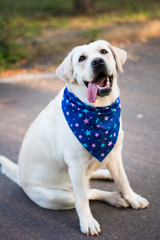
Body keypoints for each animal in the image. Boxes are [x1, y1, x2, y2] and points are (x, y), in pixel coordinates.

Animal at [0, 40, 149, 235]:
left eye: (103, 51)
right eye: (82, 58)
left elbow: (123, 180)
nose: (98, 61)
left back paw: (106, 175)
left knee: (92, 180)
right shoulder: (76, 165)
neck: (99, 109)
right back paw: (113, 197)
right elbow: (83, 200)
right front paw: (88, 222)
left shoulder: (115, 152)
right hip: (55, 196)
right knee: (88, 192)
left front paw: (133, 198)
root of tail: (20, 177)